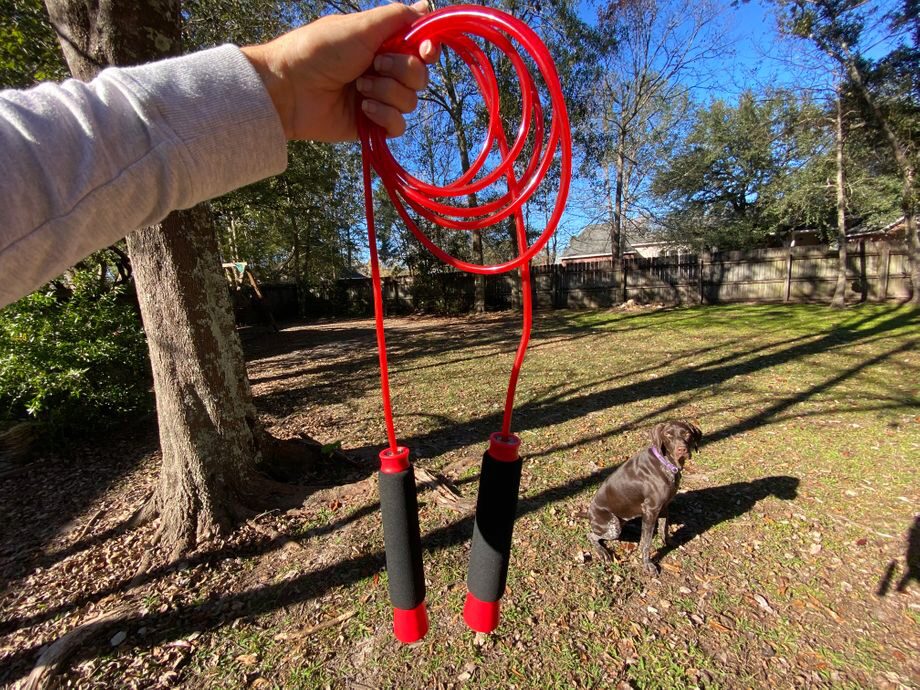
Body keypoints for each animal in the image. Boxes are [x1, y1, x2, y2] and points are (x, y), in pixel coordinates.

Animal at [588, 420, 704, 576]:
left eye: (687, 433)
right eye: (668, 434)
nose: (682, 449)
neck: (666, 463)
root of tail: (588, 513)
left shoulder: (664, 506)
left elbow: (663, 528)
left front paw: (668, 542)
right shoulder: (651, 510)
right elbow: (647, 543)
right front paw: (647, 564)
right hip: (613, 527)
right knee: (591, 535)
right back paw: (603, 552)